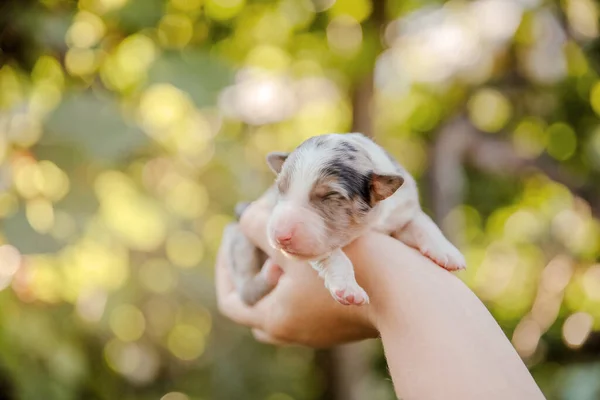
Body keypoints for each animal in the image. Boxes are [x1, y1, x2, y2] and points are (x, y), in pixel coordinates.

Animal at [224, 134, 464, 306]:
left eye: (330, 196)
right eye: (280, 188)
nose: (280, 236)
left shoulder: (401, 210)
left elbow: (423, 223)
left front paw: (448, 253)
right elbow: (333, 256)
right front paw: (349, 290)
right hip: (239, 242)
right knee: (245, 289)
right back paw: (267, 276)